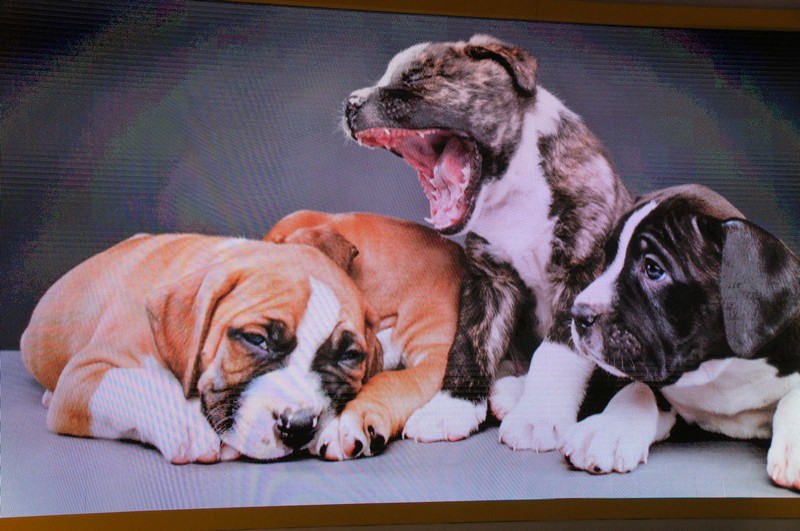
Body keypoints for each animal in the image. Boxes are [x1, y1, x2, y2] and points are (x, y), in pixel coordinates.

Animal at [21, 233, 383, 463]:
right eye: (256, 340)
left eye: (349, 356)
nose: (299, 426)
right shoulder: (83, 376)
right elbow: (131, 383)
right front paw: (186, 422)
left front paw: (341, 424)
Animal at [343, 34, 632, 448]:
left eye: (417, 78)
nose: (351, 104)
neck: (516, 191)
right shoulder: (488, 282)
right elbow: (469, 343)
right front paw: (451, 408)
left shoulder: (581, 274)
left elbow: (557, 353)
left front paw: (537, 418)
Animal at [563, 184, 800, 490]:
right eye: (608, 258)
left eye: (653, 269)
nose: (578, 313)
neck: (721, 368)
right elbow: (639, 387)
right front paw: (608, 428)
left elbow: (792, 396)